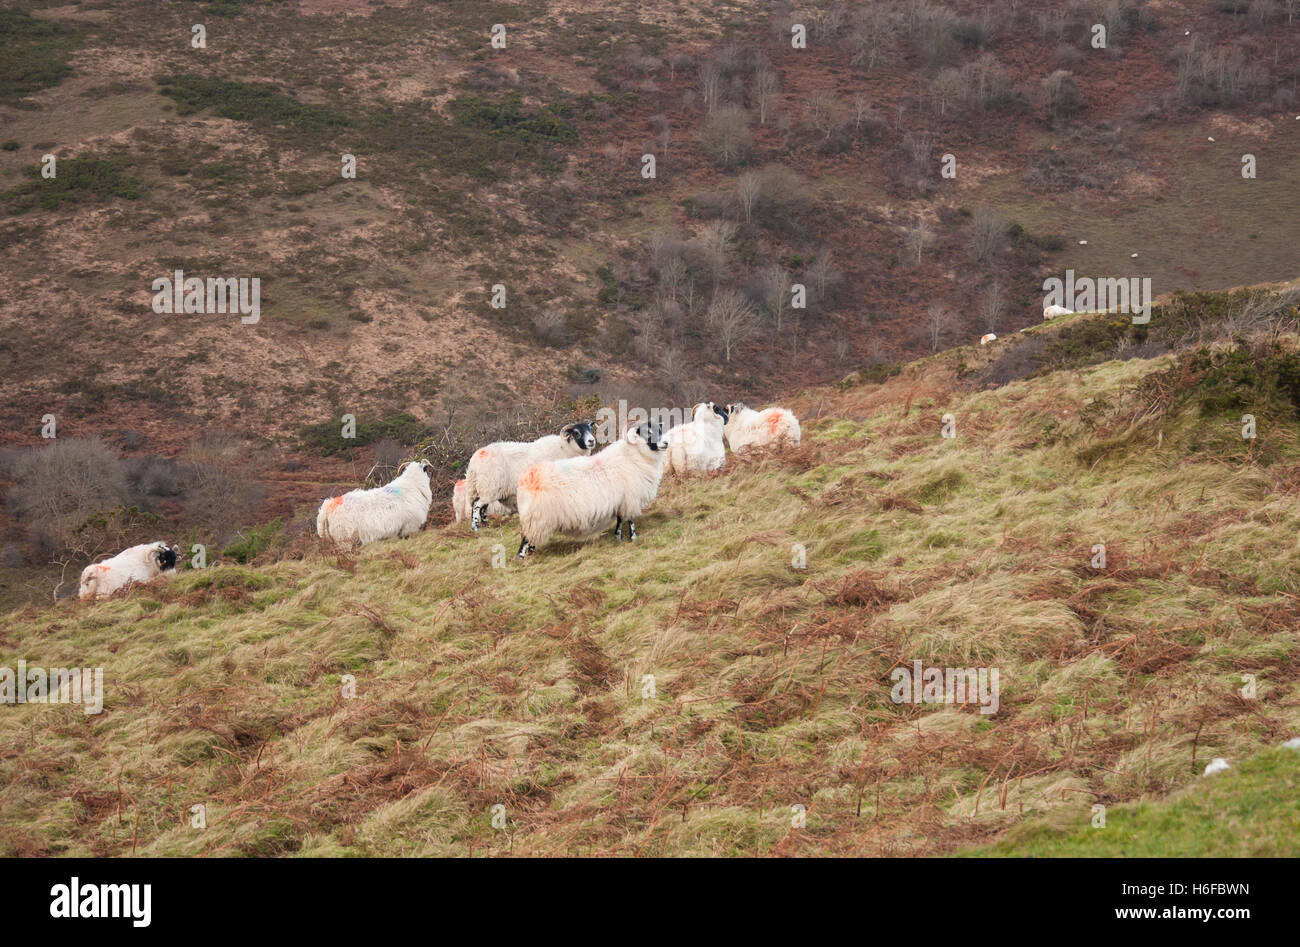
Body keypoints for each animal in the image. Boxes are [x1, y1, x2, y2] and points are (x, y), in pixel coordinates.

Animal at [465, 418, 595, 528]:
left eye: (590, 429)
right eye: (576, 432)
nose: (591, 441)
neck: (565, 449)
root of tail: (474, 460)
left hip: (487, 488)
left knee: (482, 507)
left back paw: (486, 525)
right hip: (489, 486)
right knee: (477, 505)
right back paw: (475, 527)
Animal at [512, 421, 665, 554]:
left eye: (660, 429)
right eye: (648, 432)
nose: (666, 443)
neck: (632, 455)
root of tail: (524, 479)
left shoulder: (621, 500)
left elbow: (620, 520)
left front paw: (618, 538)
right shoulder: (630, 497)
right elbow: (630, 520)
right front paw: (633, 538)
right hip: (535, 518)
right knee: (525, 540)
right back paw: (522, 557)